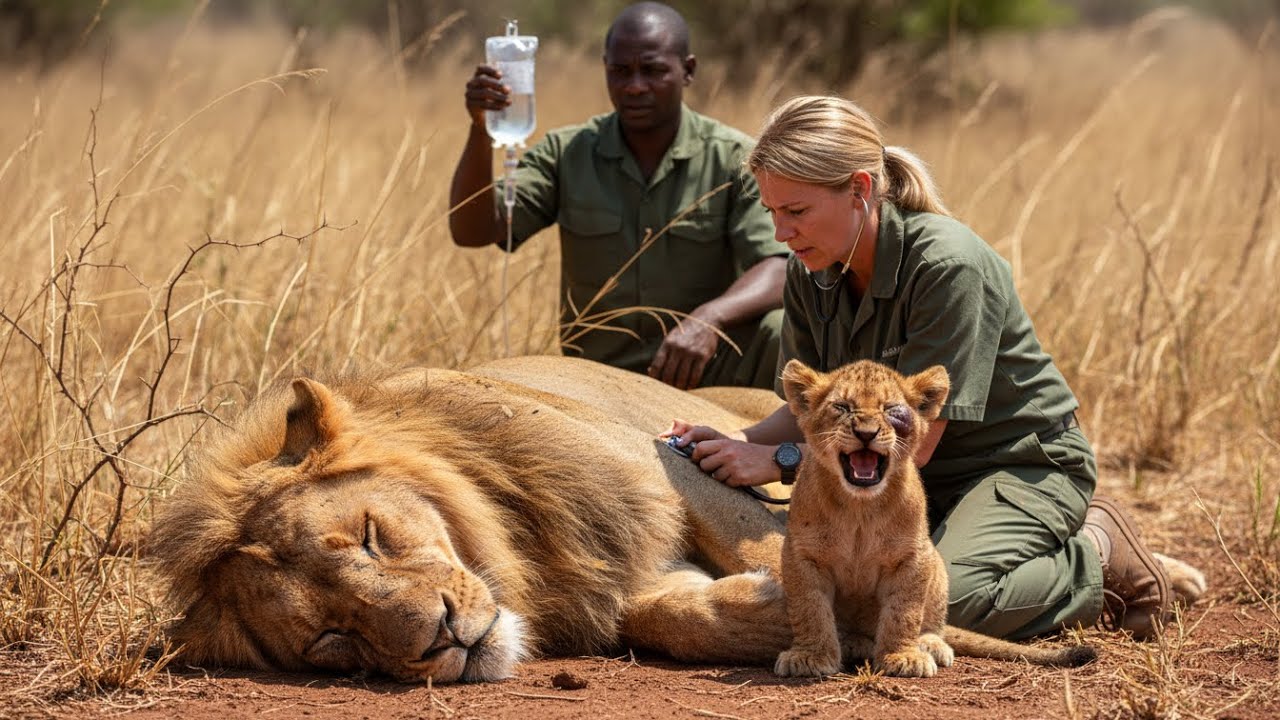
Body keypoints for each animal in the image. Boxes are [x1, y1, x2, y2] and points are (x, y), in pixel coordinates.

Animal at [149, 356, 797, 683]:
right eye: (333, 638)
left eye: (369, 537)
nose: (444, 635)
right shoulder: (613, 573)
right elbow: (669, 615)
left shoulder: (672, 464)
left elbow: (764, 546)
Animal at [775, 359, 1096, 678]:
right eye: (842, 406)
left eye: (891, 409)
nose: (866, 433)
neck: (859, 507)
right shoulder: (802, 554)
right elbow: (809, 608)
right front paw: (811, 656)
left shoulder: (912, 555)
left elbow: (904, 611)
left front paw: (902, 656)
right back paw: (853, 643)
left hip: (937, 564)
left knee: (933, 621)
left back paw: (929, 644)